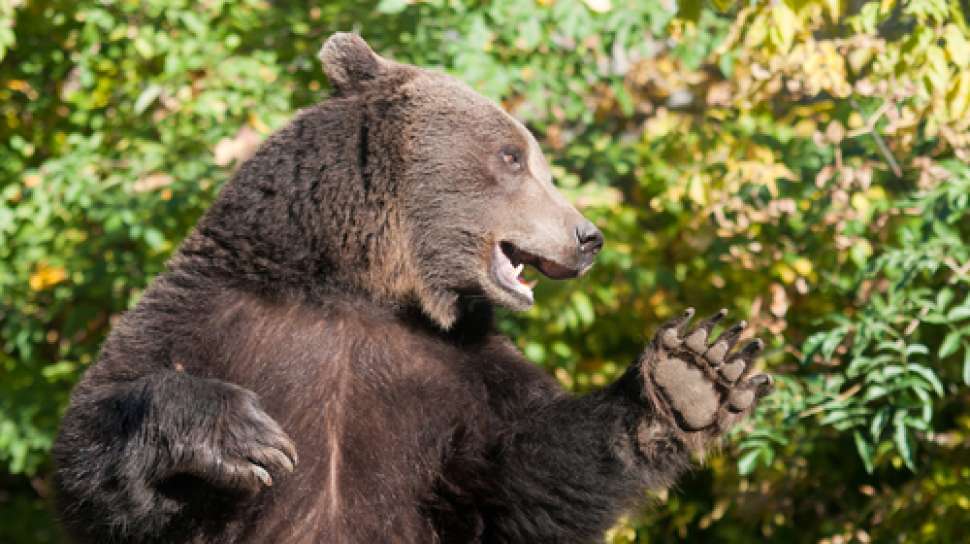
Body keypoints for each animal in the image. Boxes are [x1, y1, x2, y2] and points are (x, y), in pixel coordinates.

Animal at [51, 34, 772, 544]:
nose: (587, 236)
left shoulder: (458, 372)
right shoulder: (216, 310)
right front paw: (240, 436)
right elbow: (91, 450)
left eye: (531, 157)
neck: (358, 285)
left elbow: (524, 478)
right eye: (513, 157)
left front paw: (694, 376)